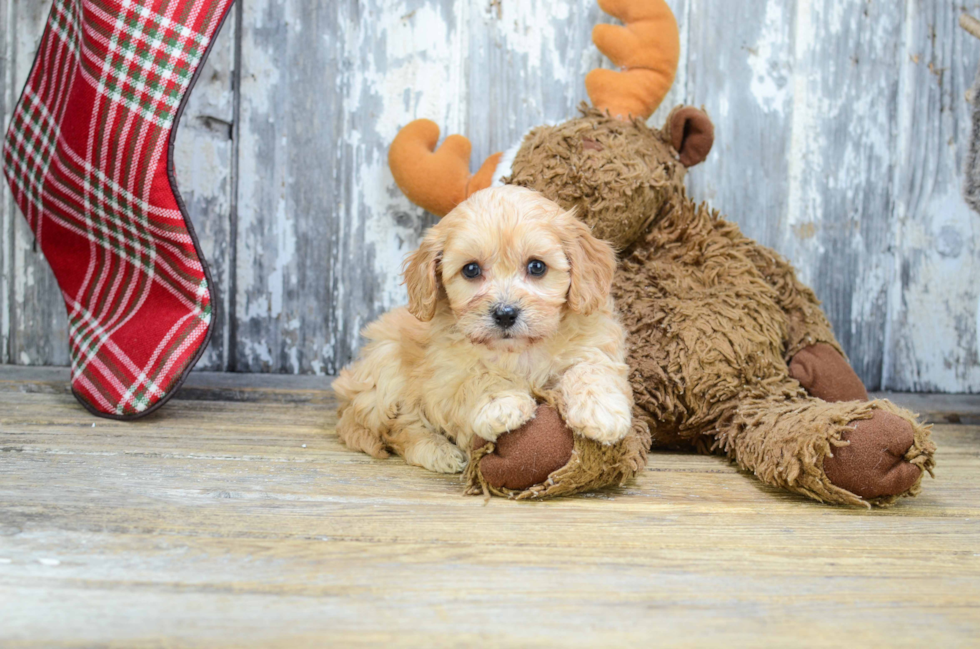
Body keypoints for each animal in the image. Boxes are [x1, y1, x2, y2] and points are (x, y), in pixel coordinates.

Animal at [334, 185, 632, 474]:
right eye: (471, 270)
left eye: (537, 266)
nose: (505, 314)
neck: (518, 350)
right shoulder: (445, 379)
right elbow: (479, 377)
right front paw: (502, 403)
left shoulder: (594, 343)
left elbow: (590, 369)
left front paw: (600, 411)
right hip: (385, 366)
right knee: (398, 428)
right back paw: (438, 452)